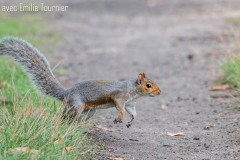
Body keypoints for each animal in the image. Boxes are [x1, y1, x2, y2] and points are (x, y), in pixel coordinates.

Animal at [0, 37, 161, 127]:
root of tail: (66, 93)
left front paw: (132, 121)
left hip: (90, 110)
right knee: (65, 115)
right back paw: (66, 125)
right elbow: (120, 109)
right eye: (148, 85)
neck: (133, 90)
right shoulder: (119, 97)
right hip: (77, 105)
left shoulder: (130, 103)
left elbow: (133, 113)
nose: (159, 92)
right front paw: (119, 118)